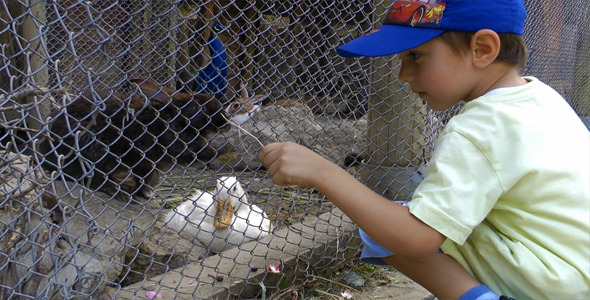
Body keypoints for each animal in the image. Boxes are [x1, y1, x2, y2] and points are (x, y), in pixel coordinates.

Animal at [40, 79, 229, 202]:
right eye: (199, 107)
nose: (225, 119)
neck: (175, 118)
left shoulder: (148, 164)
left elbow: (145, 177)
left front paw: (145, 194)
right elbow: (194, 153)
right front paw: (222, 151)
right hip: (93, 149)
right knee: (91, 179)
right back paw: (118, 192)